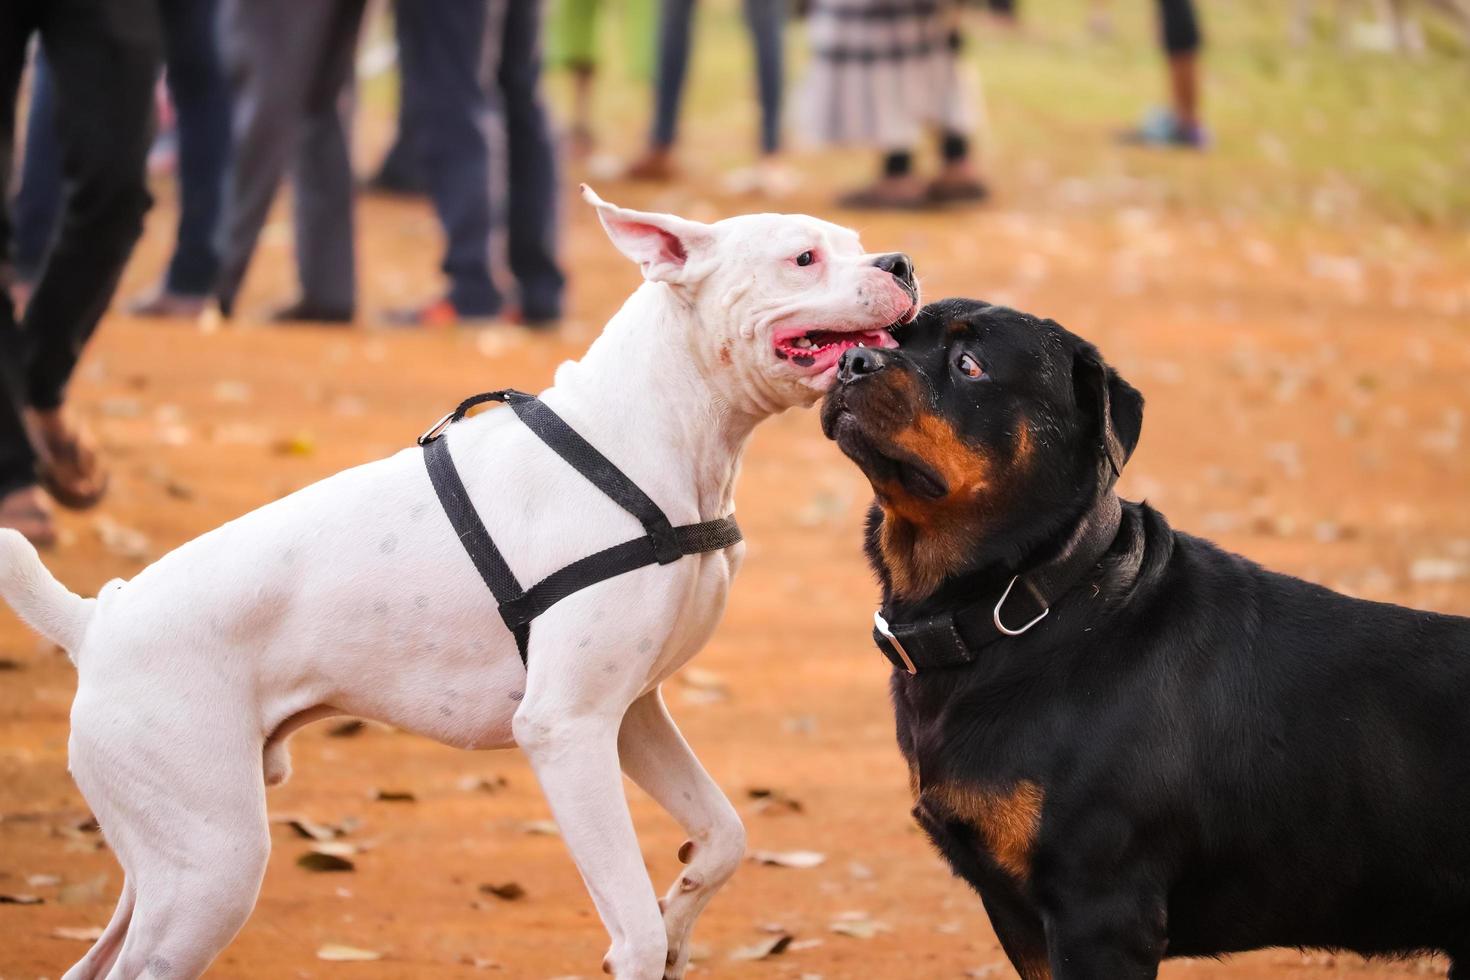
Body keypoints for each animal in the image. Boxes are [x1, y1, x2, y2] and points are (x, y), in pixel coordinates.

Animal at [0, 189, 911, 980]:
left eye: (859, 243)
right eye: (804, 258)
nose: (900, 260)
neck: (651, 434)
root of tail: (96, 623)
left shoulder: (630, 713)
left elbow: (722, 837)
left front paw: (682, 909)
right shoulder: (565, 730)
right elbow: (634, 931)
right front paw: (653, 935)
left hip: (165, 859)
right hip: (211, 866)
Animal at [823, 299, 1470, 980]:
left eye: (968, 364)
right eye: (885, 337)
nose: (853, 359)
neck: (1034, 599)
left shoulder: (1101, 909)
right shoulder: (1023, 920)